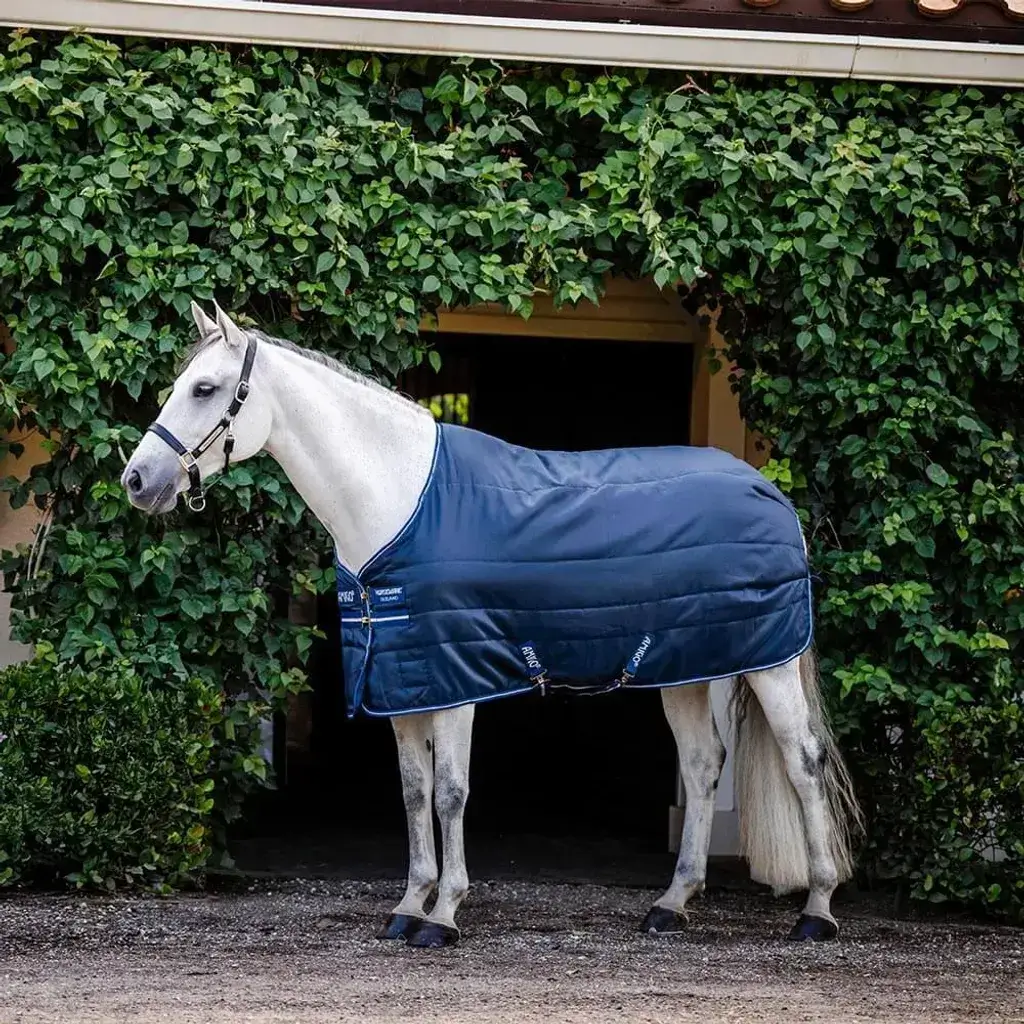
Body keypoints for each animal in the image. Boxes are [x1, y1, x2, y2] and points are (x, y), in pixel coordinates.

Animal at [122, 302, 862, 948]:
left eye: (205, 389)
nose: (137, 480)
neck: (399, 499)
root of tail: (771, 492)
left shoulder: (456, 679)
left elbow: (451, 794)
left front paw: (443, 915)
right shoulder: (403, 682)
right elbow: (414, 793)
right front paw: (407, 905)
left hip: (768, 663)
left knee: (803, 761)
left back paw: (817, 911)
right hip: (681, 668)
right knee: (705, 764)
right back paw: (671, 905)